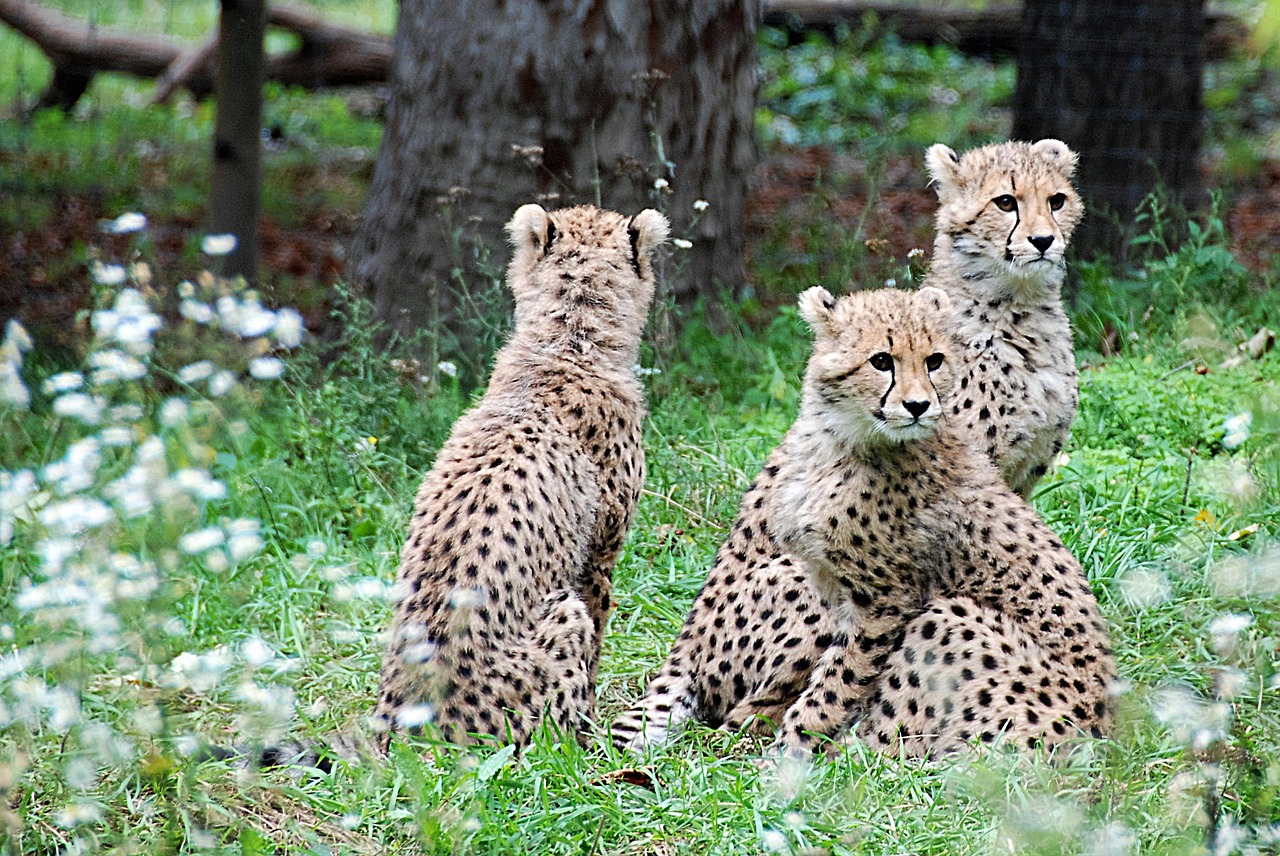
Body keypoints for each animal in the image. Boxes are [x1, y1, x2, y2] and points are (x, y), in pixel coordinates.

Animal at [376, 203, 670, 742]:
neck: (570, 341)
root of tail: (406, 726)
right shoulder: (598, 553)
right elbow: (598, 637)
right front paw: (591, 730)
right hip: (561, 617)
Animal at [762, 286, 1116, 752]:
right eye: (881, 360)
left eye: (934, 360)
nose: (918, 405)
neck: (839, 439)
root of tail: (1103, 727)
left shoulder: (885, 601)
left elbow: (839, 679)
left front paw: (792, 745)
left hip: (947, 617)